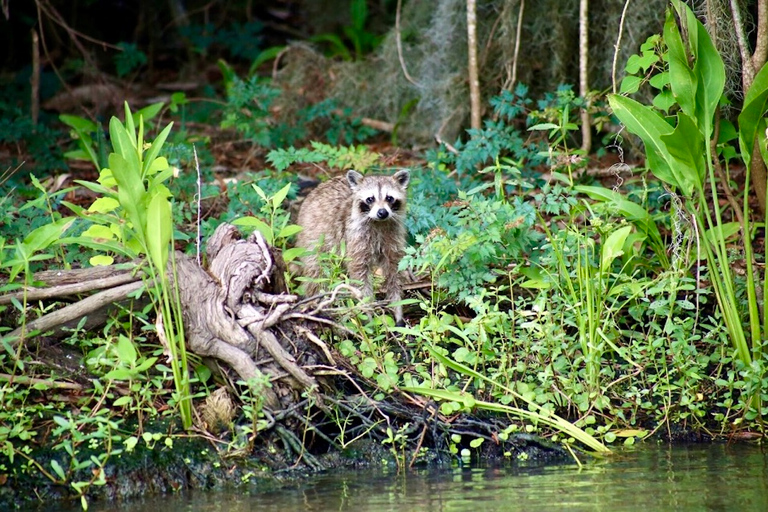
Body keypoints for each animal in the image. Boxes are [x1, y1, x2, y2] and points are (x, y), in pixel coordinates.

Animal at [296, 170, 412, 326]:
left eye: (389, 198)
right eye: (370, 199)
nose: (382, 212)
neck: (378, 223)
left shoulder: (393, 238)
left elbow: (394, 273)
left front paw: (398, 308)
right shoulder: (356, 238)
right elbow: (360, 277)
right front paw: (367, 314)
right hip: (313, 235)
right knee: (316, 270)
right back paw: (316, 302)